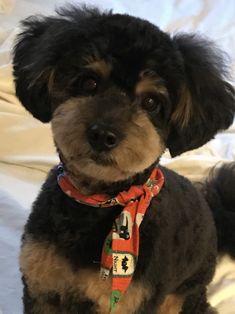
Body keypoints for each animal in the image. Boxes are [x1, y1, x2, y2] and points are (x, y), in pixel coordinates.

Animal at [12, 5, 235, 314]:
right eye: (89, 82)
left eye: (151, 102)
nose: (103, 134)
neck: (97, 204)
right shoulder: (41, 289)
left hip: (182, 298)